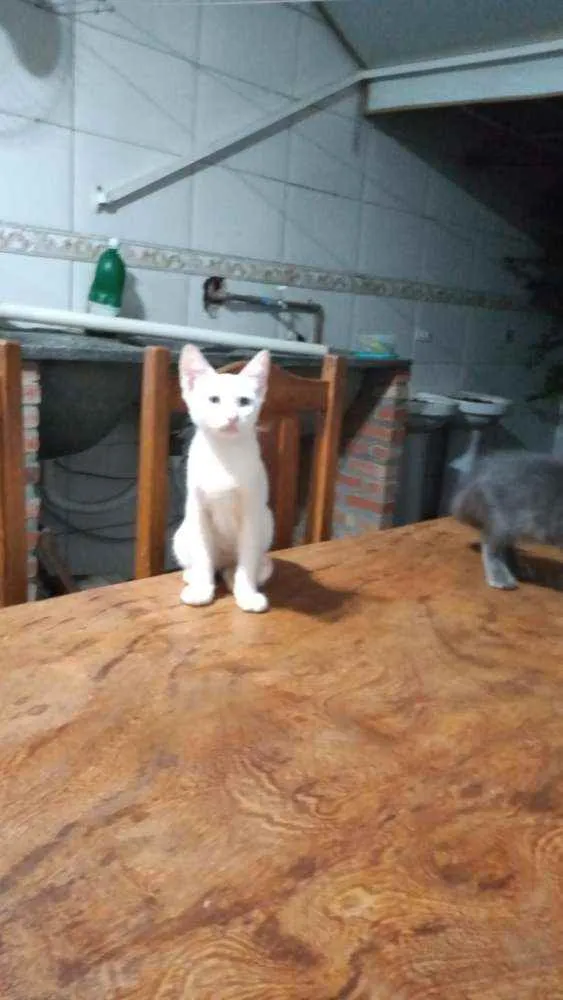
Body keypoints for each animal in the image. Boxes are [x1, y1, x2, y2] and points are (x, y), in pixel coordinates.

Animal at [172, 344, 274, 613]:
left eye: (244, 402)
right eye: (214, 400)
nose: (232, 416)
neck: (224, 457)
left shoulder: (252, 512)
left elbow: (247, 557)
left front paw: (247, 593)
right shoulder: (197, 509)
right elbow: (202, 555)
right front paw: (202, 589)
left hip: (267, 520)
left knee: (242, 565)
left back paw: (239, 576)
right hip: (181, 534)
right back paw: (194, 575)